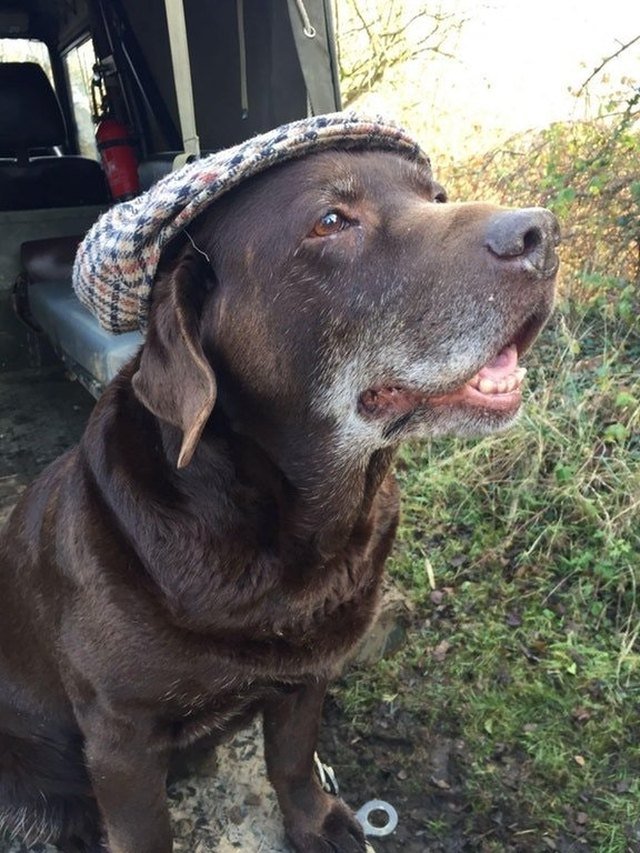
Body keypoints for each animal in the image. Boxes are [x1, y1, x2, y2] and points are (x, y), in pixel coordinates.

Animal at [0, 148, 560, 852]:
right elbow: (146, 831)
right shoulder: (120, 741)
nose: (544, 233)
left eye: (436, 196)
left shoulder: (308, 672)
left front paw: (314, 823)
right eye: (331, 221)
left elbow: (291, 759)